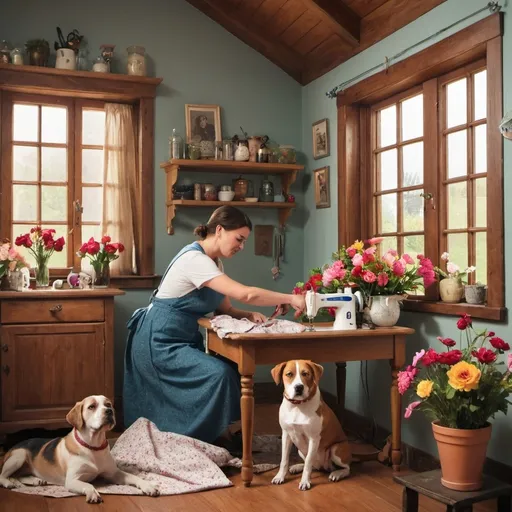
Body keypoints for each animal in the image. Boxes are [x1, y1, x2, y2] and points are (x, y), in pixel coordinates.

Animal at [0, 396, 159, 504]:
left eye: (108, 404)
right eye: (91, 407)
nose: (109, 411)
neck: (93, 446)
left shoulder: (114, 473)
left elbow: (135, 477)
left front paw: (148, 486)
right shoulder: (72, 481)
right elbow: (88, 484)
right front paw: (93, 493)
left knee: (20, 475)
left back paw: (35, 480)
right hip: (18, 456)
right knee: (3, 475)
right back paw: (9, 483)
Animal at [272, 358, 352, 490]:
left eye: (305, 374)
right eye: (289, 374)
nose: (299, 387)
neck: (297, 406)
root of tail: (324, 467)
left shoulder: (313, 439)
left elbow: (309, 462)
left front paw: (305, 481)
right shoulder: (286, 435)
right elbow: (284, 459)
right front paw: (280, 476)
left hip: (336, 449)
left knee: (347, 468)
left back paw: (336, 473)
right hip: (300, 450)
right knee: (313, 466)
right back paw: (297, 467)